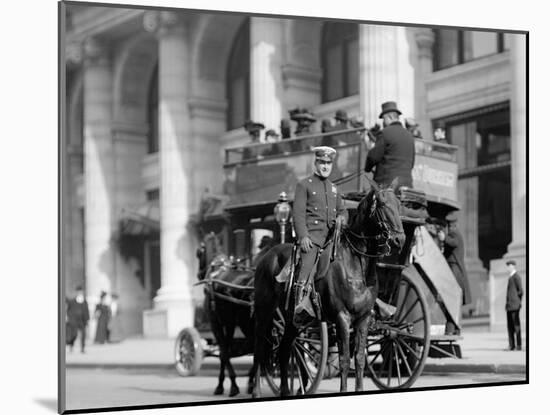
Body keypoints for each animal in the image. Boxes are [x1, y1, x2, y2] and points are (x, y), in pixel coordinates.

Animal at [250, 182, 406, 396]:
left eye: (399, 205)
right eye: (382, 205)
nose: (400, 239)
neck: (356, 264)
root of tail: (266, 256)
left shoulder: (363, 319)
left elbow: (359, 359)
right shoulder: (342, 318)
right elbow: (344, 359)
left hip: (292, 320)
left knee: (284, 350)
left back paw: (285, 391)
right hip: (264, 313)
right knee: (259, 349)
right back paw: (256, 391)